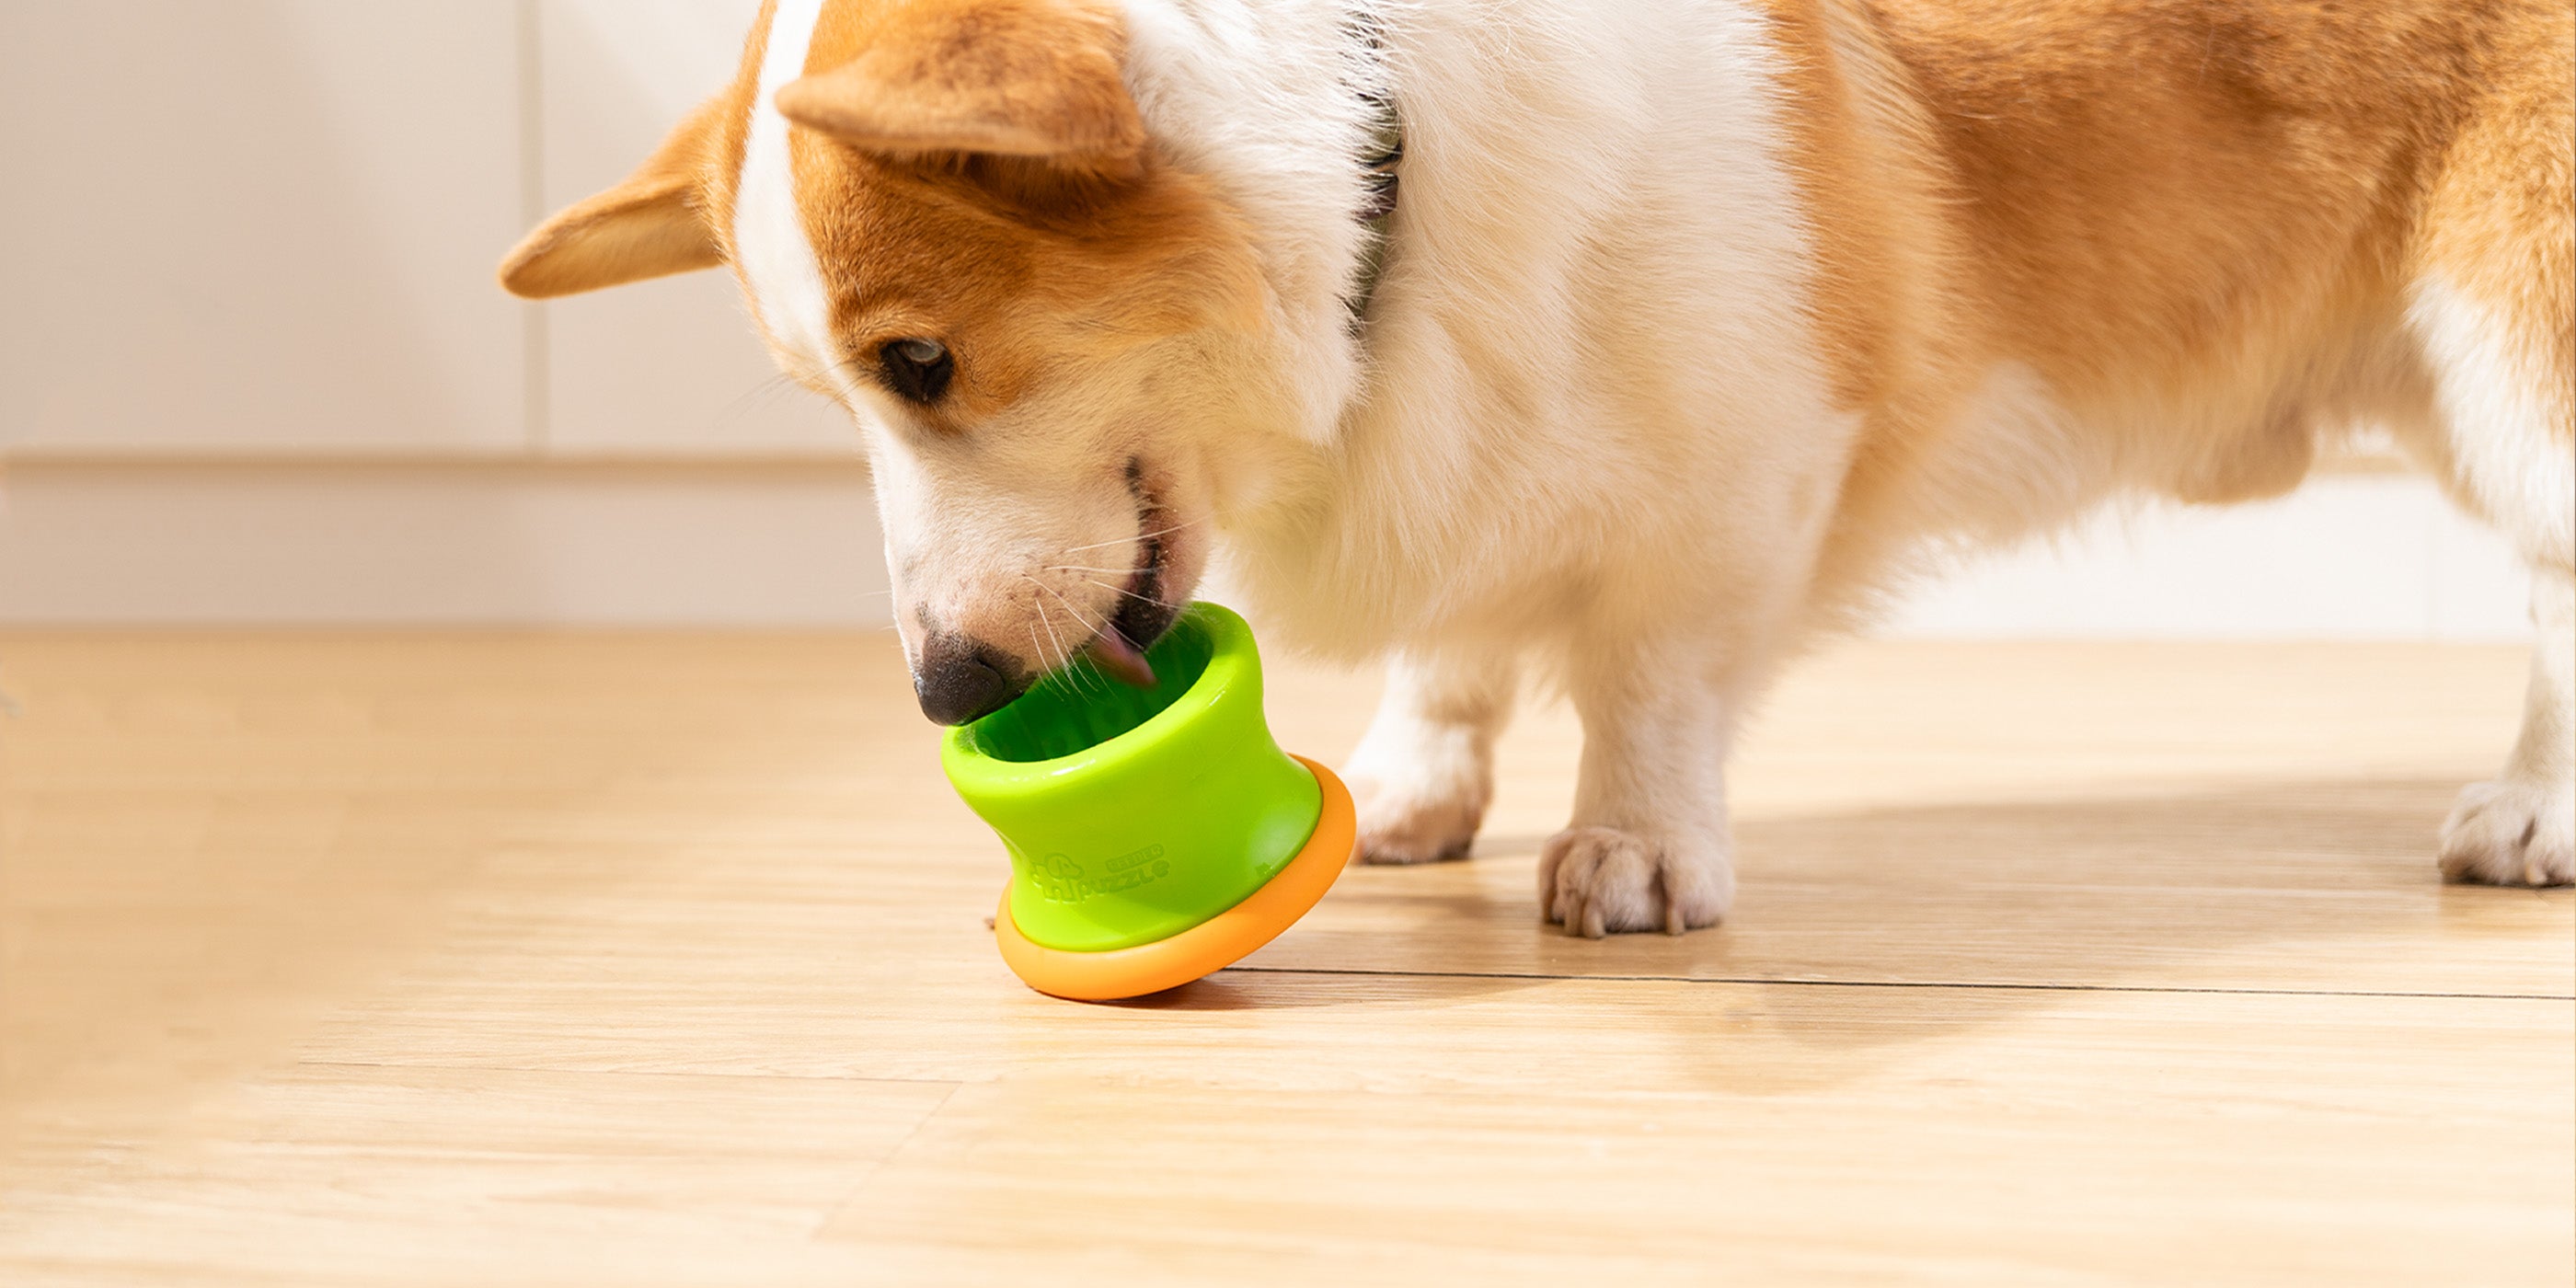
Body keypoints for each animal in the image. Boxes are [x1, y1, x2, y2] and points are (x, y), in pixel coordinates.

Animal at [502, 0, 2576, 932]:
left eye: (920, 362)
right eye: (827, 395)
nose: (945, 690)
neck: (1375, 155)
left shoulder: (1739, 479)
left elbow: (1647, 685)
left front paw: (1630, 852)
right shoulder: (1468, 451)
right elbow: (1459, 636)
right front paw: (1422, 784)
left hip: (2515, 357)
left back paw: (2534, 813)